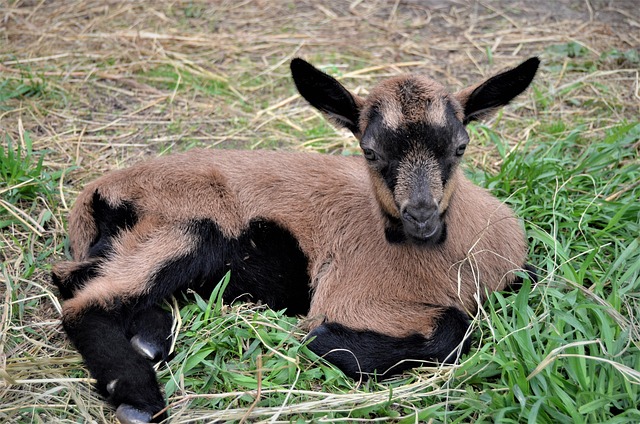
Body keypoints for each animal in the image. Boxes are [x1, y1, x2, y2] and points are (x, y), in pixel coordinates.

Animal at [52, 57, 539, 423]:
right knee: (86, 302)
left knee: (74, 276)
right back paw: (138, 397)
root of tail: (94, 192)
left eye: (460, 146)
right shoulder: (351, 298)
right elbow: (455, 330)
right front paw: (326, 342)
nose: (421, 218)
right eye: (369, 151)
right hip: (185, 229)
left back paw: (152, 338)